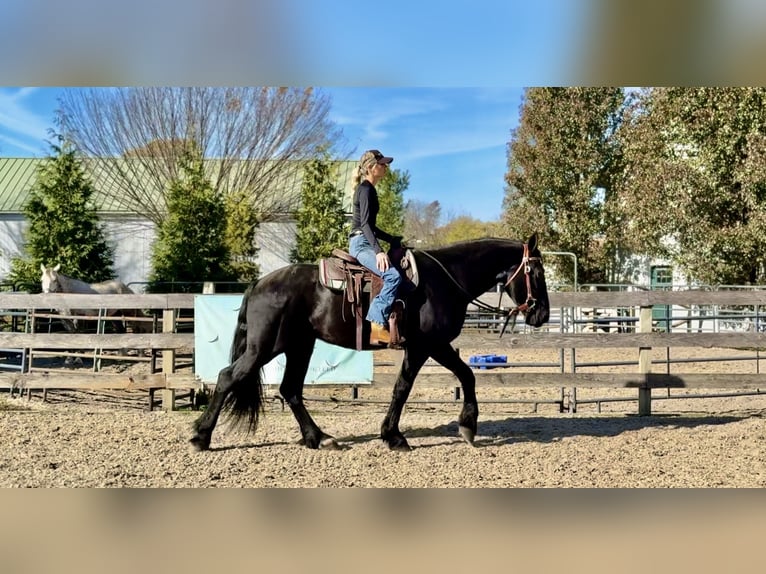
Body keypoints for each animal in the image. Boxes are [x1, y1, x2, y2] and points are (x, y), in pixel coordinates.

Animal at [190, 233, 550, 452]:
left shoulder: (433, 346)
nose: (543, 314)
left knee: (290, 389)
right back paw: (201, 436)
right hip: (265, 347)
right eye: (536, 273)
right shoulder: (427, 346)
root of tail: (260, 283)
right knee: (228, 377)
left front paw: (464, 426)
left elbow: (461, 376)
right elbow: (410, 387)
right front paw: (397, 436)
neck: (445, 280)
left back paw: (318, 437)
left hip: (299, 346)